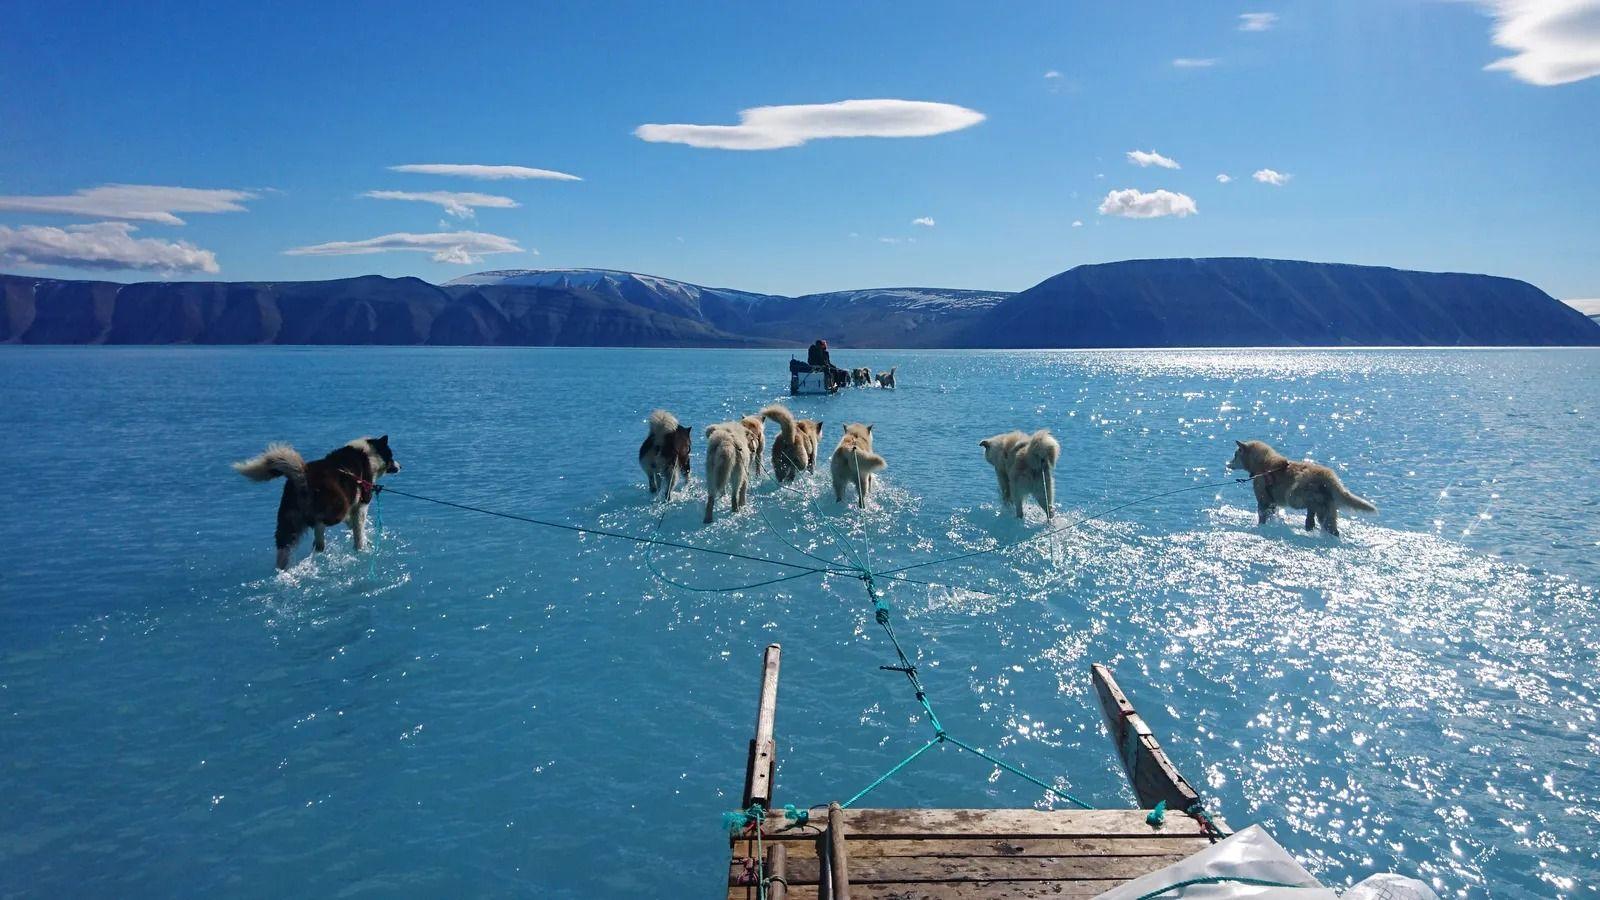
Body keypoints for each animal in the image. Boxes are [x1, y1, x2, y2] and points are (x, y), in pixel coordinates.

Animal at [233, 435, 403, 566]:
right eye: (391, 455)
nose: (400, 466)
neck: (368, 454)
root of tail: (302, 475)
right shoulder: (361, 504)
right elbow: (359, 530)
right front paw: (362, 546)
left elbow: (352, 522)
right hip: (337, 505)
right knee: (319, 523)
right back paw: (319, 542)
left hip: (288, 520)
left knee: (284, 546)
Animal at [1222, 438, 1376, 534]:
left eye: (1235, 455)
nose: (1228, 464)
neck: (1264, 465)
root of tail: (1328, 476)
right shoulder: (1272, 502)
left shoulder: (1263, 498)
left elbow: (1262, 515)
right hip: (1329, 508)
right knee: (1330, 524)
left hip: (1294, 493)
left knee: (1311, 504)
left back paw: (1310, 521)